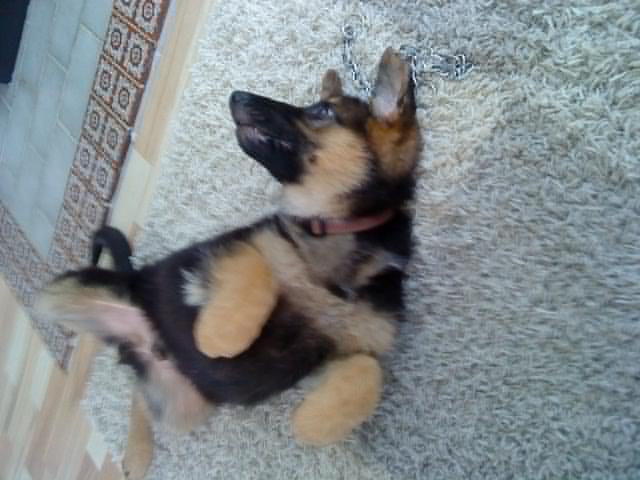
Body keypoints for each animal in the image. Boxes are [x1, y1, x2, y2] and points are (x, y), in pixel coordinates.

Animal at [36, 47, 420, 474]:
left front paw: (313, 422)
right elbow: (257, 268)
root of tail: (143, 339)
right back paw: (137, 449)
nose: (237, 95)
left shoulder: (339, 351)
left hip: (185, 405)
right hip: (61, 294)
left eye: (322, 111)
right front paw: (219, 336)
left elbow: (369, 373)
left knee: (142, 396)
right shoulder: (222, 250)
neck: (333, 232)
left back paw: (137, 450)